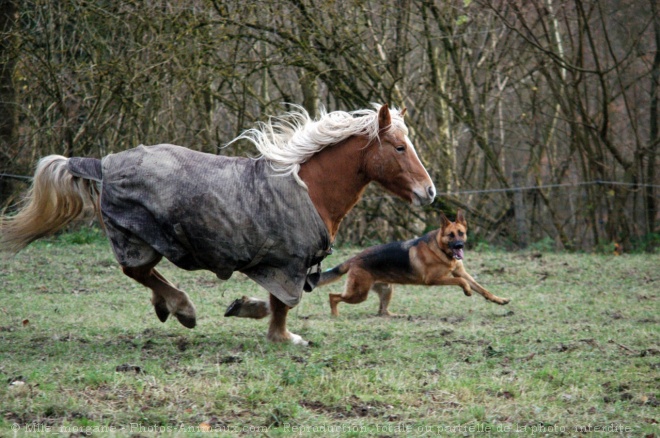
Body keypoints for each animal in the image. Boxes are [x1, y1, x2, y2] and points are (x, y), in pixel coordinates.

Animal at [2, 103, 436, 346]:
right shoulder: (287, 263)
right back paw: (182, 308)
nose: (429, 192)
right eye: (400, 147)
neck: (309, 188)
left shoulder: (281, 266)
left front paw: (244, 307)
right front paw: (284, 337)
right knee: (138, 271)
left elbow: (273, 302)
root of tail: (103, 164)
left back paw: (167, 307)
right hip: (139, 235)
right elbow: (283, 305)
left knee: (142, 274)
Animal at [318, 210, 510, 316]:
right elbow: (461, 281)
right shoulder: (434, 279)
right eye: (451, 235)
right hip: (358, 294)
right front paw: (467, 291)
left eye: (461, 233)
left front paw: (499, 300)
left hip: (387, 290)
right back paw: (335, 315)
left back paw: (398, 315)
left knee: (383, 312)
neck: (441, 250)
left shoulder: (461, 272)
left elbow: (482, 289)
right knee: (332, 296)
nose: (459, 246)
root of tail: (354, 259)